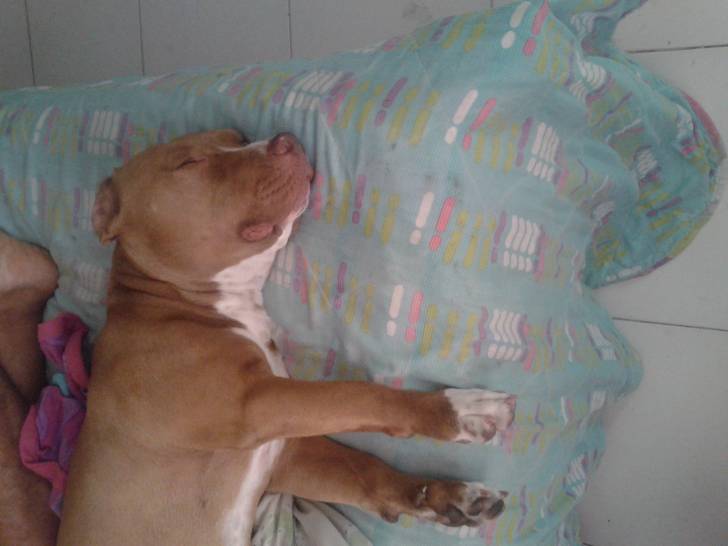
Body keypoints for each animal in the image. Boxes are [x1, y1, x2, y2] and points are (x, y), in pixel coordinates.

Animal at [56, 129, 516, 545]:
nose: (285, 140)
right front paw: (453, 410)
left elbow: (364, 468)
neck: (170, 300)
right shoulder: (254, 404)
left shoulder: (284, 456)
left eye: (237, 137)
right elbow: (360, 394)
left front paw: (439, 496)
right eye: (189, 162)